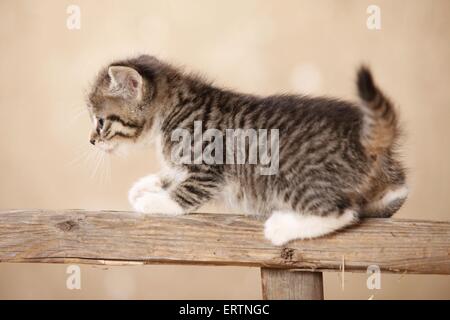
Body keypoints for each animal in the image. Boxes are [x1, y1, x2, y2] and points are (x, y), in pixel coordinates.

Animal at [85, 54, 408, 245]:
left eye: (100, 121)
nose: (91, 141)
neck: (173, 110)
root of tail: (362, 136)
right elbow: (172, 174)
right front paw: (146, 185)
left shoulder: (208, 166)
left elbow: (186, 192)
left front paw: (154, 201)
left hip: (288, 175)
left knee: (342, 212)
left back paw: (280, 227)